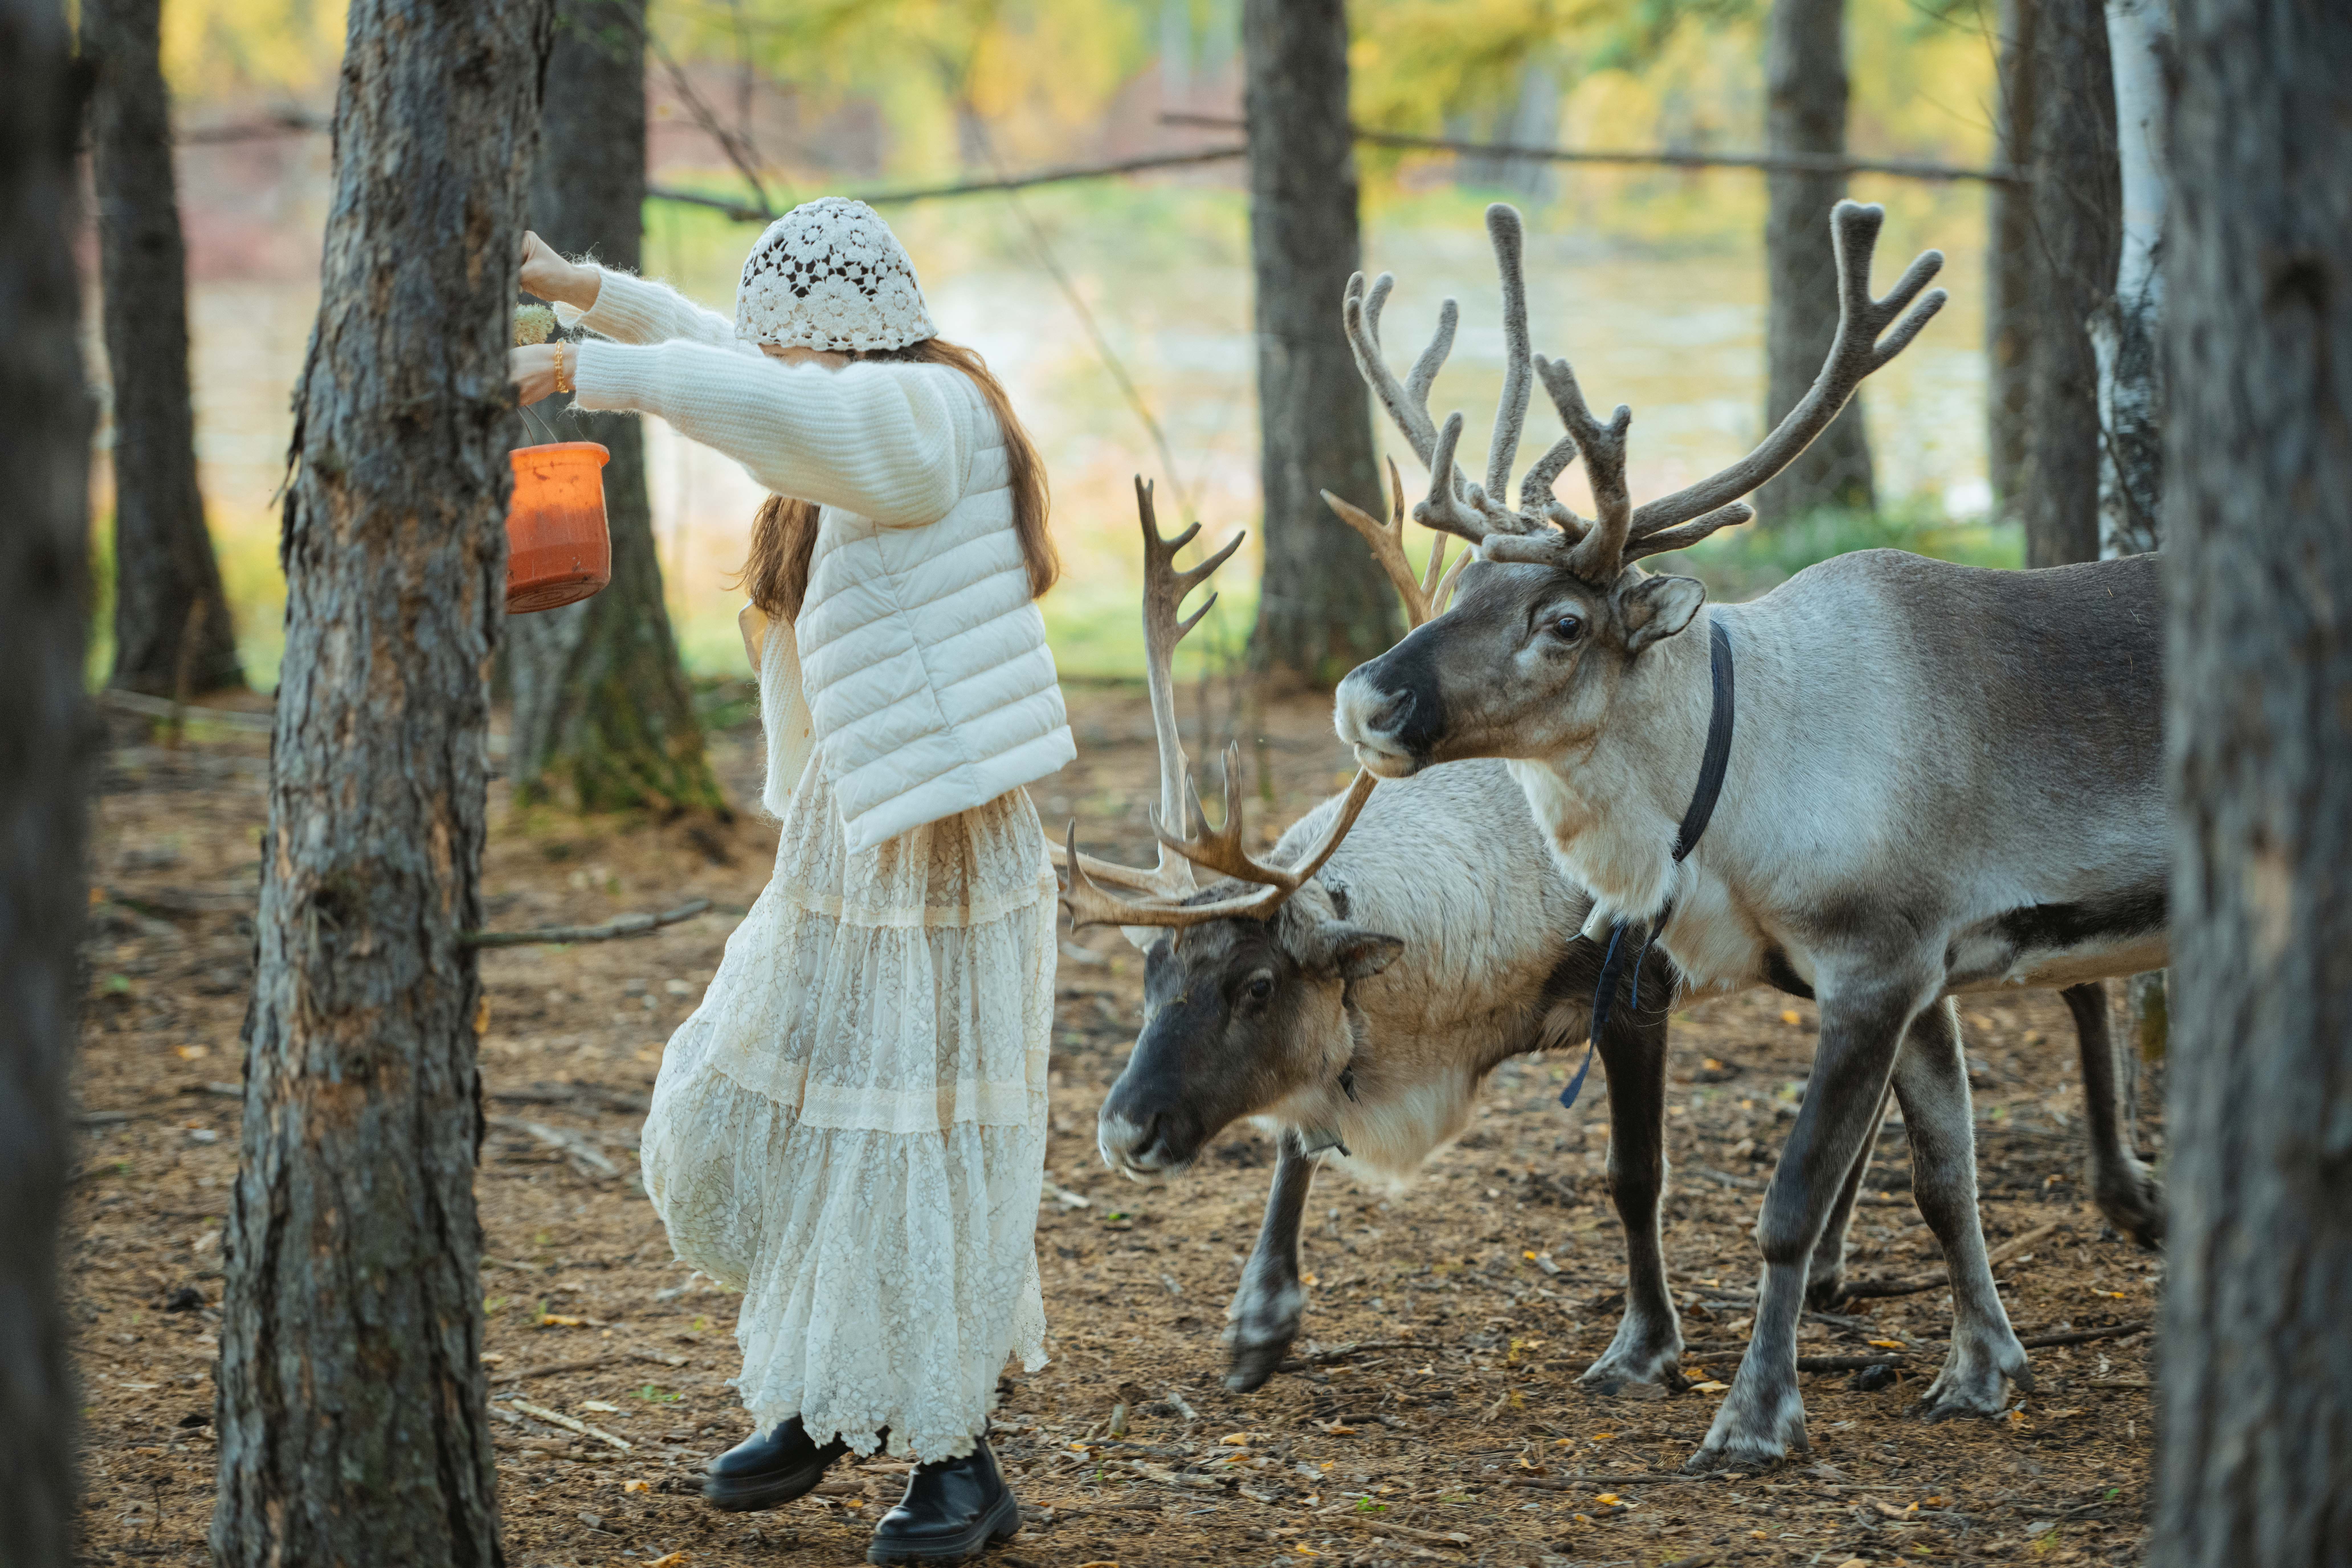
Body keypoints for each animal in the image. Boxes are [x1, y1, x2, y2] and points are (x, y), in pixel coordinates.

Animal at [1328, 198, 2166, 1470]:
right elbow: (1945, 1180)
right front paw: (1982, 1368)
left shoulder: (1875, 964)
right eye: (1462, 585)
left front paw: (1757, 1413)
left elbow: (1792, 1203)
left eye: (1562, 621)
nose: (1366, 699)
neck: (1735, 787)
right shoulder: (1926, 973)